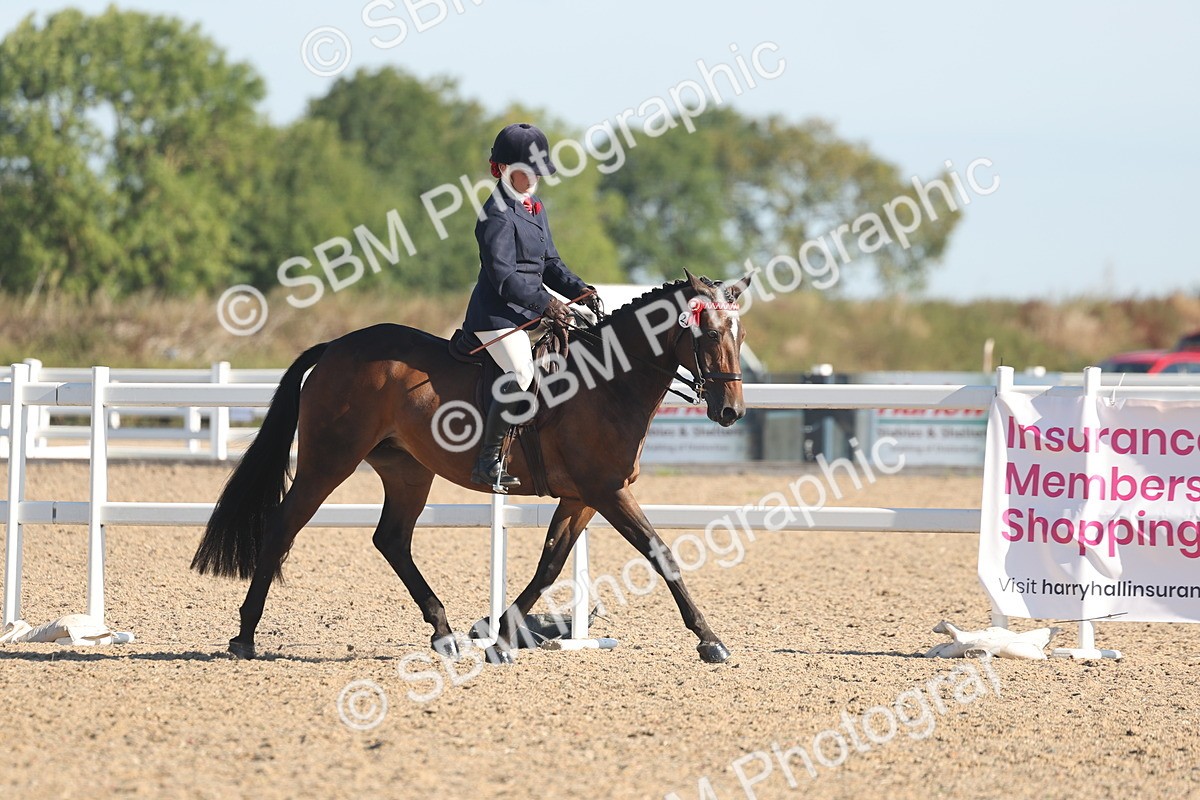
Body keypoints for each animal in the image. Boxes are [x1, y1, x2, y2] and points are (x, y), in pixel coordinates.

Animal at [191, 270, 751, 663]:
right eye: (707, 333)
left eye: (739, 335)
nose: (730, 412)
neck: (609, 381)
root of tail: (336, 347)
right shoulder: (607, 491)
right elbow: (660, 553)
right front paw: (710, 641)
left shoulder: (582, 497)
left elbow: (549, 565)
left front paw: (499, 635)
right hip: (328, 462)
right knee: (284, 525)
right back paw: (244, 635)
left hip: (408, 470)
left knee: (391, 539)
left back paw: (444, 633)